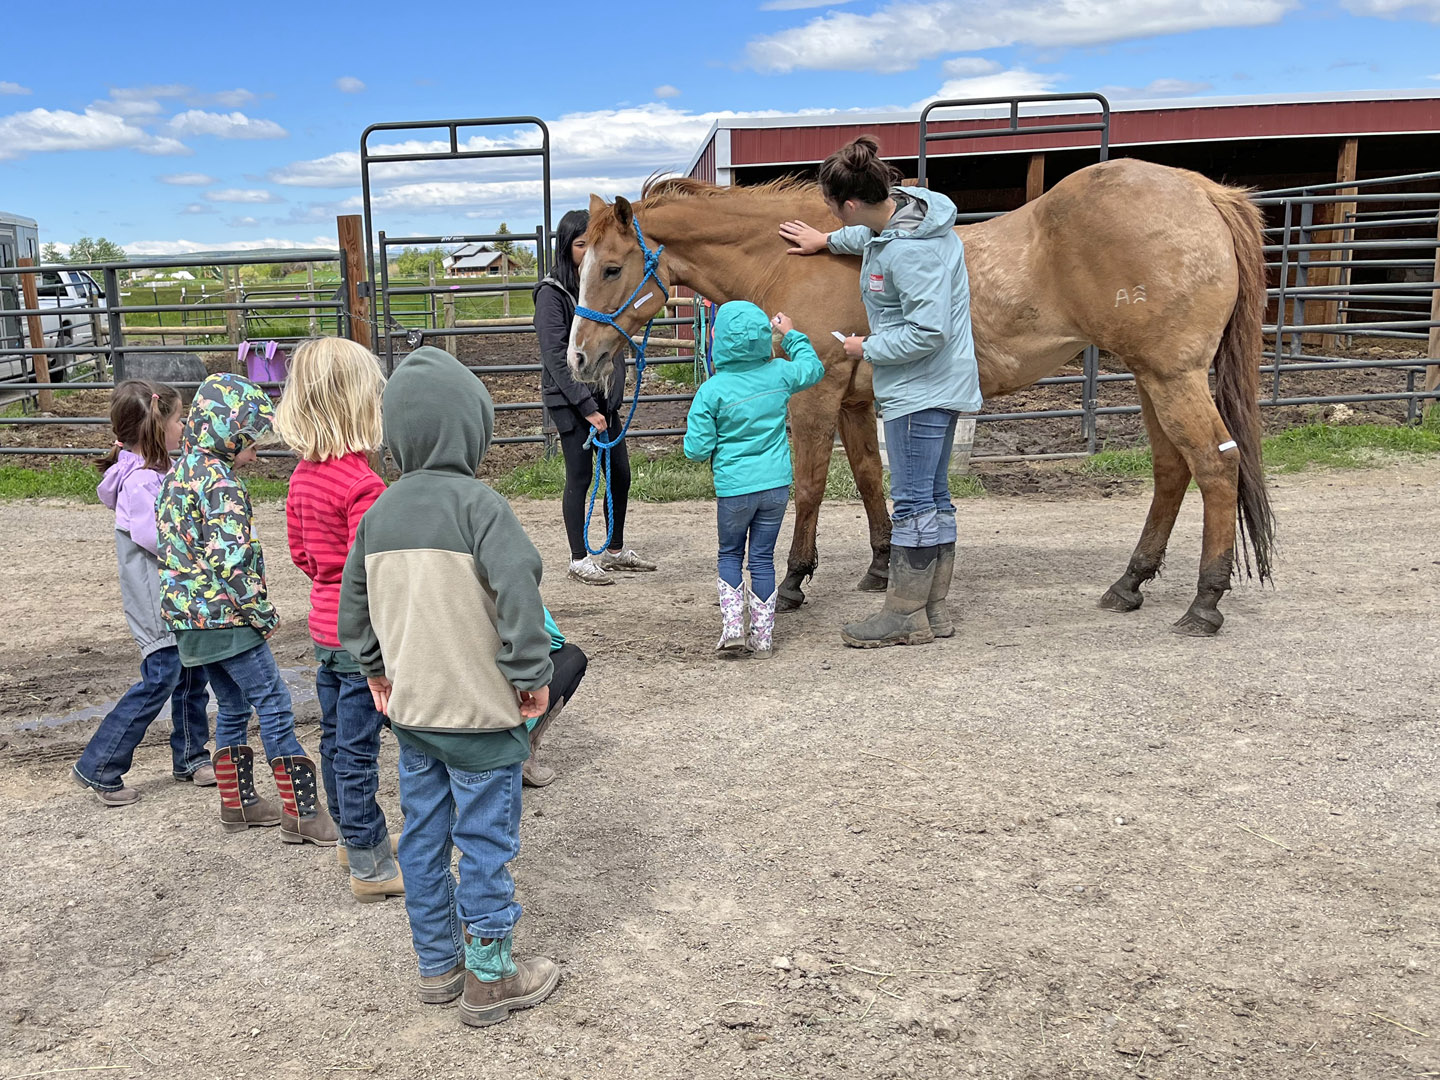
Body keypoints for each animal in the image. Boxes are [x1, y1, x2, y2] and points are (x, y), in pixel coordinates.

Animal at [569, 157, 1274, 636]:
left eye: (611, 267)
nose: (577, 358)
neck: (786, 258)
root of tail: (1202, 192)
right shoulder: (854, 402)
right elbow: (870, 479)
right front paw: (882, 566)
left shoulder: (816, 396)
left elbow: (810, 487)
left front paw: (795, 580)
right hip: (1152, 379)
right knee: (1172, 470)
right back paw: (1129, 583)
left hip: (1172, 376)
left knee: (1215, 466)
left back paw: (1204, 602)